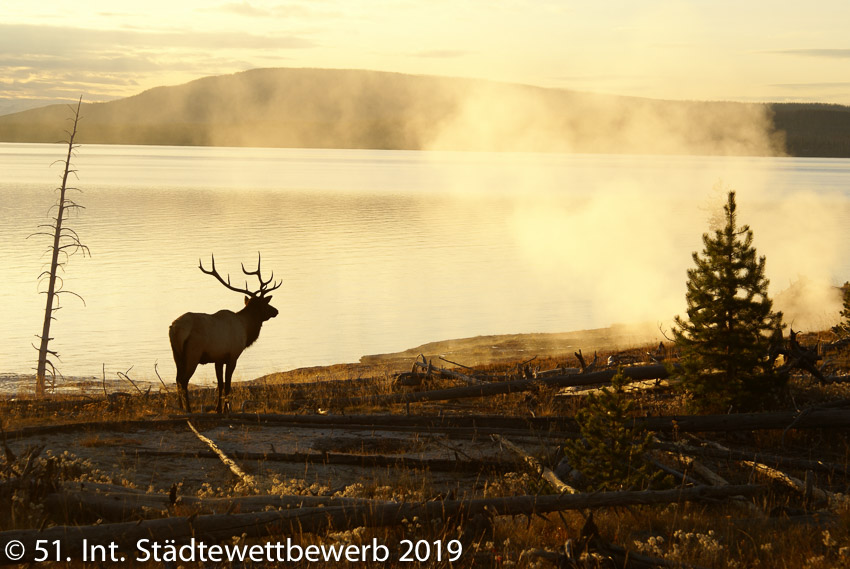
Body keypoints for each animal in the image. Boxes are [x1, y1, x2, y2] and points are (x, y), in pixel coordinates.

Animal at [169, 253, 282, 412]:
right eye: (266, 304)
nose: (276, 311)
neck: (246, 329)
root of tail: (175, 328)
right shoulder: (233, 355)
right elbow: (228, 385)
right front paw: (226, 409)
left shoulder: (218, 359)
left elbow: (220, 385)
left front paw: (218, 409)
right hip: (193, 354)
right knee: (184, 381)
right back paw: (189, 410)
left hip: (176, 354)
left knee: (177, 379)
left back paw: (180, 408)